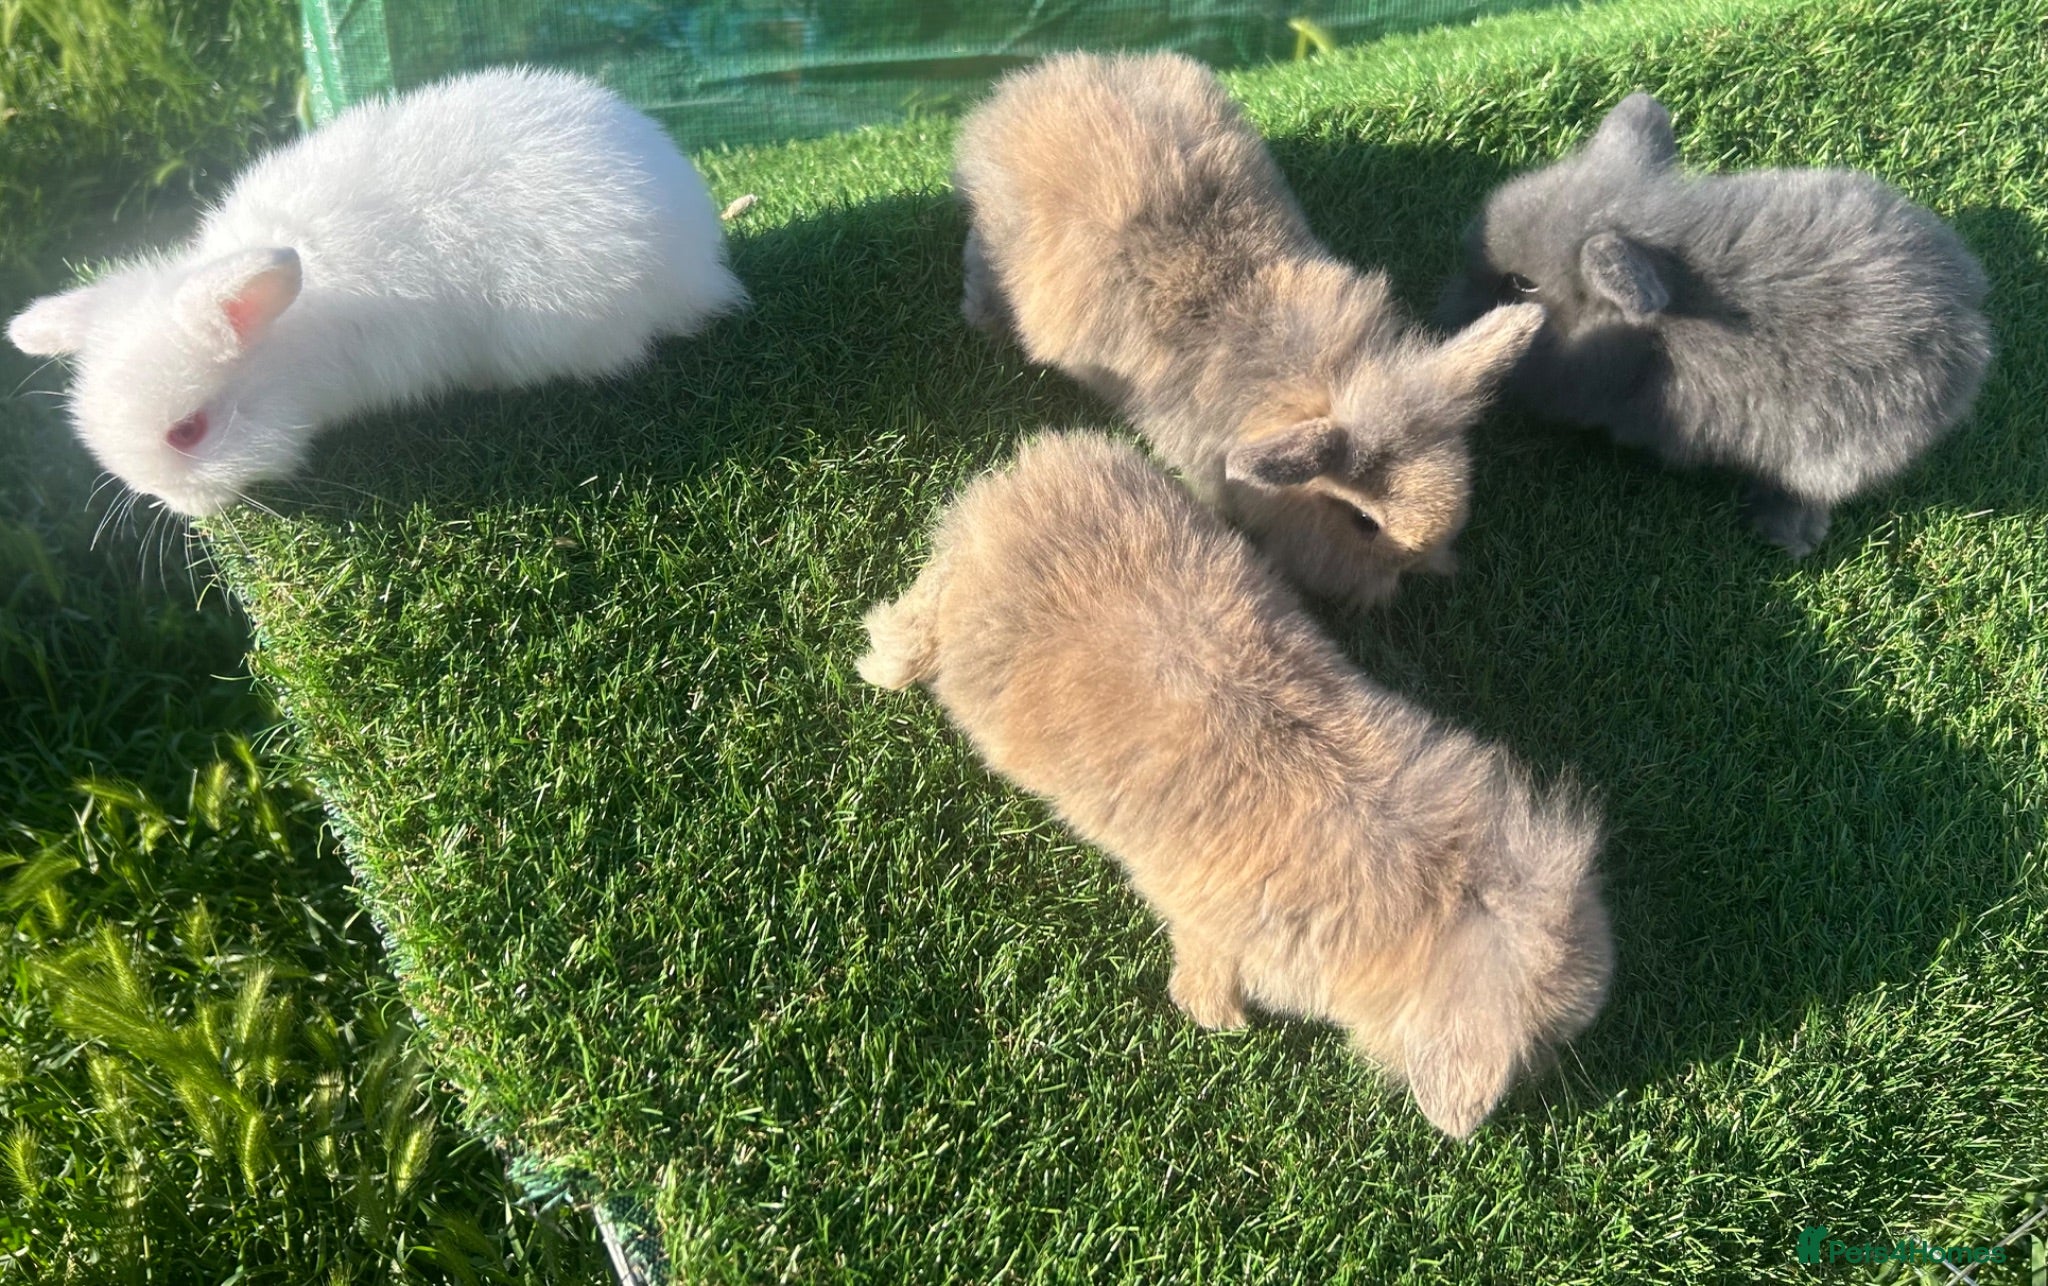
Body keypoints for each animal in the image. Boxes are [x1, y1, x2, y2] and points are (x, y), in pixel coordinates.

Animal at [857, 430, 1613, 1139]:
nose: (1550, 1075)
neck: (1437, 887)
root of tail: (1027, 480)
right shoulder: (1209, 931)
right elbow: (1202, 971)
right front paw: (1220, 1020)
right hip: (955, 618)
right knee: (916, 621)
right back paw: (883, 666)